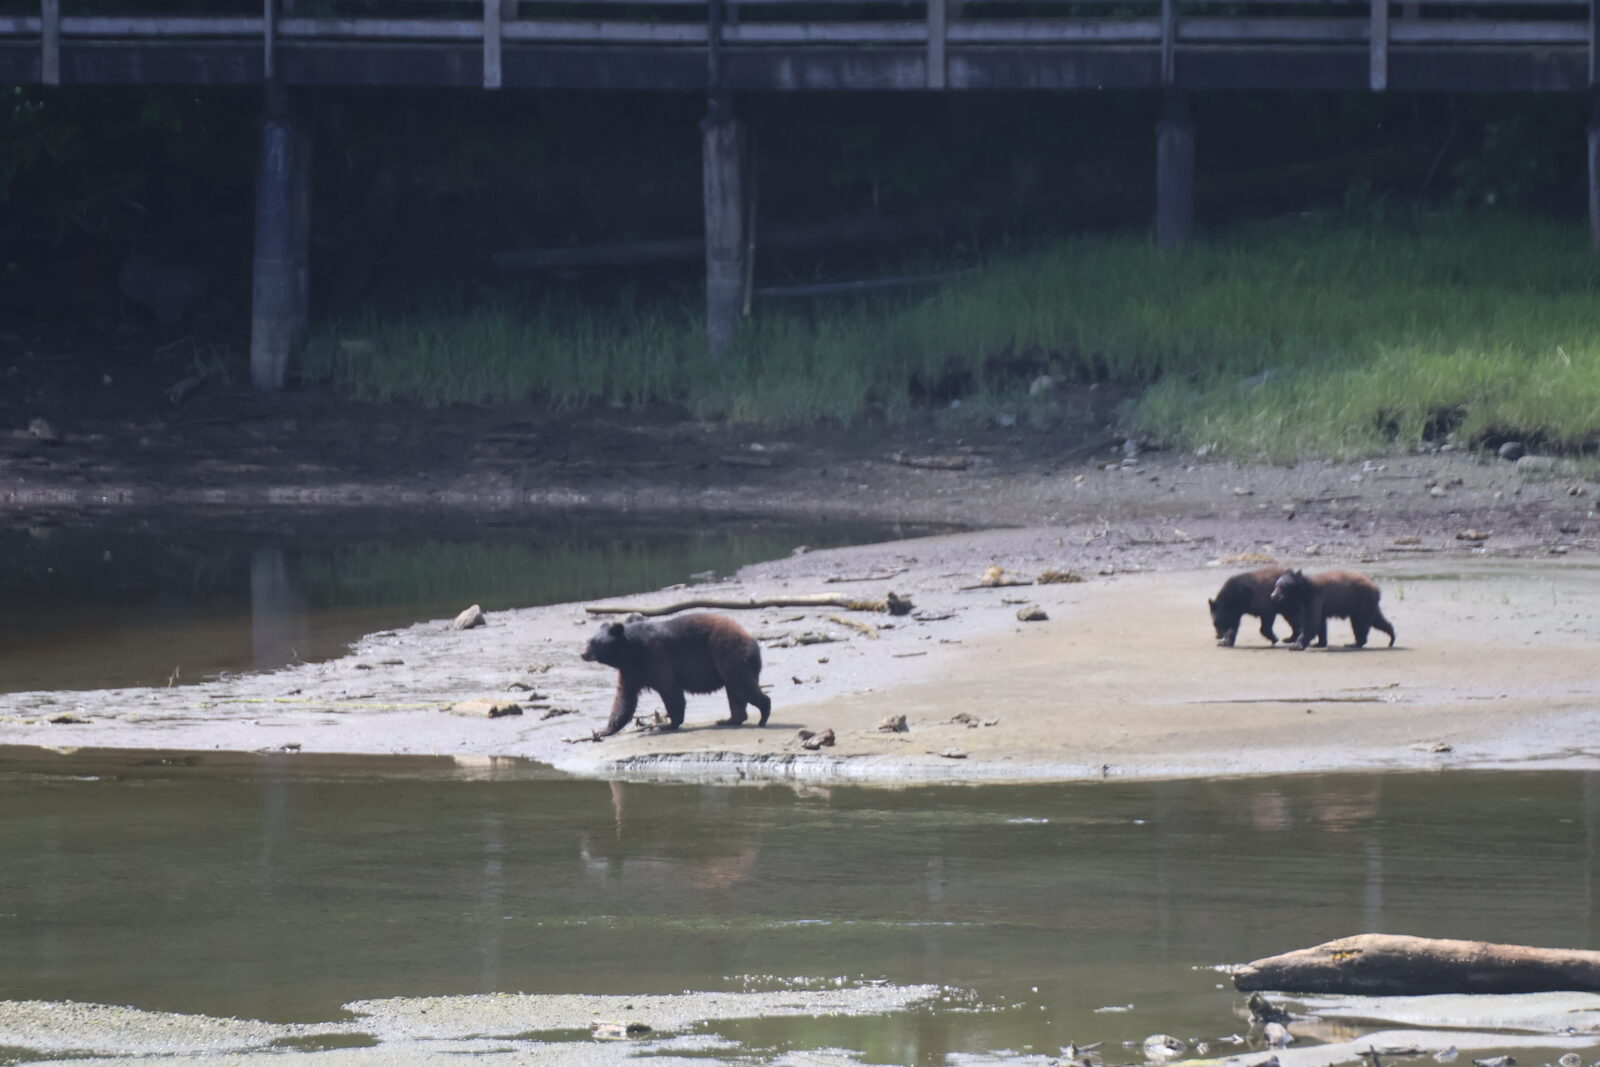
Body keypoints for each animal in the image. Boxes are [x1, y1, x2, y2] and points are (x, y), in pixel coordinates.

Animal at [580, 612, 771, 737]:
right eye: (588, 641)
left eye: (595, 643)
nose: (583, 654)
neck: (632, 651)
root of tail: (753, 641)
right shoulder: (631, 671)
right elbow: (624, 699)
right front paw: (604, 730)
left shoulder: (656, 657)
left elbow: (670, 690)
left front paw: (668, 724)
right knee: (735, 691)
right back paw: (730, 719)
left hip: (729, 654)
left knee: (742, 686)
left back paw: (763, 715)